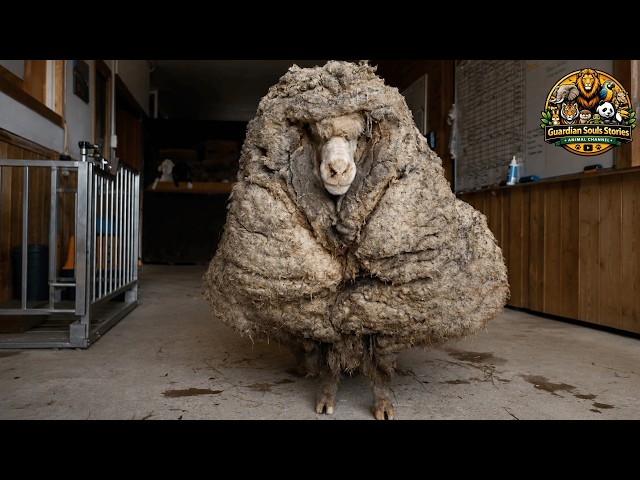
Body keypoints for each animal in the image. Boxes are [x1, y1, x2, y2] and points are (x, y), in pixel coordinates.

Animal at [202, 60, 510, 420]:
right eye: (315, 134)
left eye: (361, 136)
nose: (337, 169)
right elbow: (327, 337)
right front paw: (326, 396)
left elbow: (368, 335)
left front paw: (382, 402)